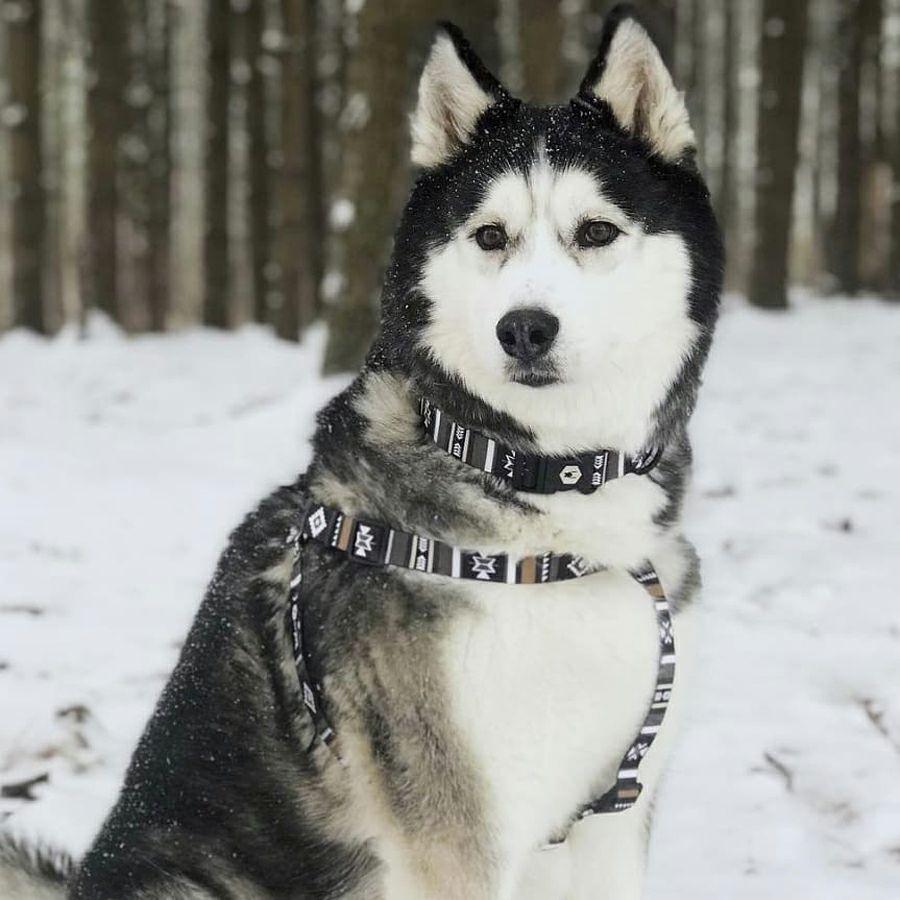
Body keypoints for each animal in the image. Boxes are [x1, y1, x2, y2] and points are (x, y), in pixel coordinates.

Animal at [1, 6, 722, 898]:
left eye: (596, 232)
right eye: (491, 236)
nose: (524, 328)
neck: (542, 491)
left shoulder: (617, 816)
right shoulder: (457, 835)